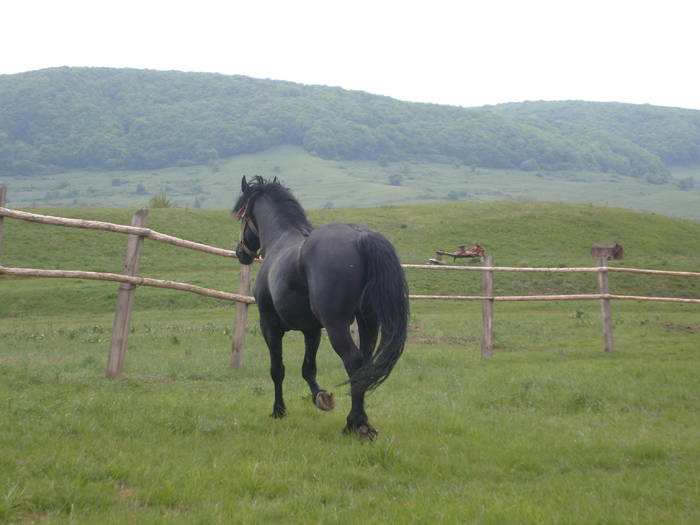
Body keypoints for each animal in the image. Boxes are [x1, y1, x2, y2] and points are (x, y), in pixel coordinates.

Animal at [235, 176, 410, 438]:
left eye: (242, 215)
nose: (240, 252)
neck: (281, 241)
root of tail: (360, 237)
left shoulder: (270, 326)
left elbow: (277, 369)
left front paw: (279, 410)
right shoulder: (312, 329)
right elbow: (308, 369)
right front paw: (322, 397)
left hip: (336, 325)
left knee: (353, 361)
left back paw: (354, 423)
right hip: (368, 321)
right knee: (365, 365)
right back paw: (363, 422)